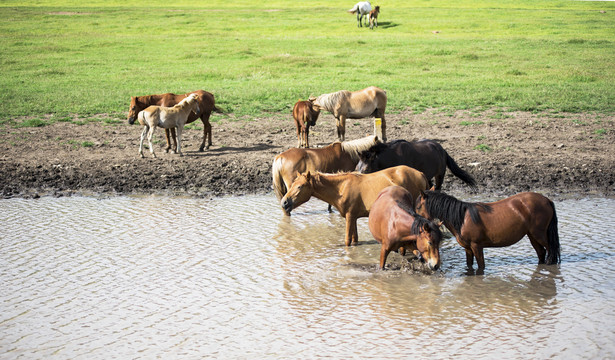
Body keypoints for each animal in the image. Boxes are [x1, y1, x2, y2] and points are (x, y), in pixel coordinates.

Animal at [280, 165, 428, 245]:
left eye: (300, 186)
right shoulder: (353, 217)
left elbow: (347, 241)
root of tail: (421, 174)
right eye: (292, 184)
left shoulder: (350, 216)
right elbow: (354, 239)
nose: (284, 202)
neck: (341, 188)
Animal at [414, 190, 564, 272]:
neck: (462, 218)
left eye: (418, 207)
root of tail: (547, 200)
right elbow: (469, 265)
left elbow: (481, 266)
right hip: (532, 236)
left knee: (551, 251)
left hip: (540, 235)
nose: (415, 222)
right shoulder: (468, 248)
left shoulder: (477, 246)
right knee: (541, 253)